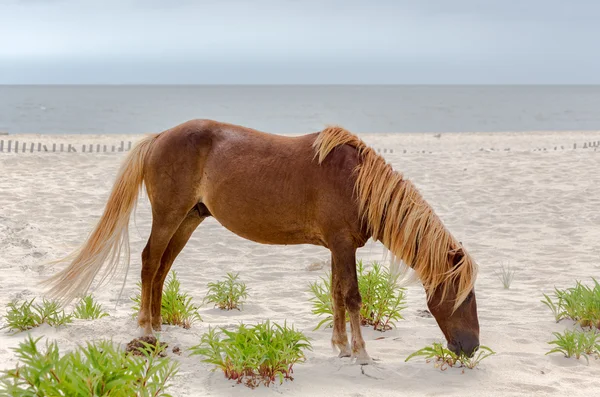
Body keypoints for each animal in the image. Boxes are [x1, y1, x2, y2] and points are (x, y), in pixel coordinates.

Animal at [43, 120, 478, 362]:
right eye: (464, 295)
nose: (471, 347)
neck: (357, 182)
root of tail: (161, 136)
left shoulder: (338, 247)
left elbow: (336, 294)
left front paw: (340, 346)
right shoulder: (342, 245)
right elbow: (352, 296)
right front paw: (361, 353)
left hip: (188, 219)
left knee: (163, 267)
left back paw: (158, 326)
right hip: (168, 215)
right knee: (151, 261)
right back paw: (147, 329)